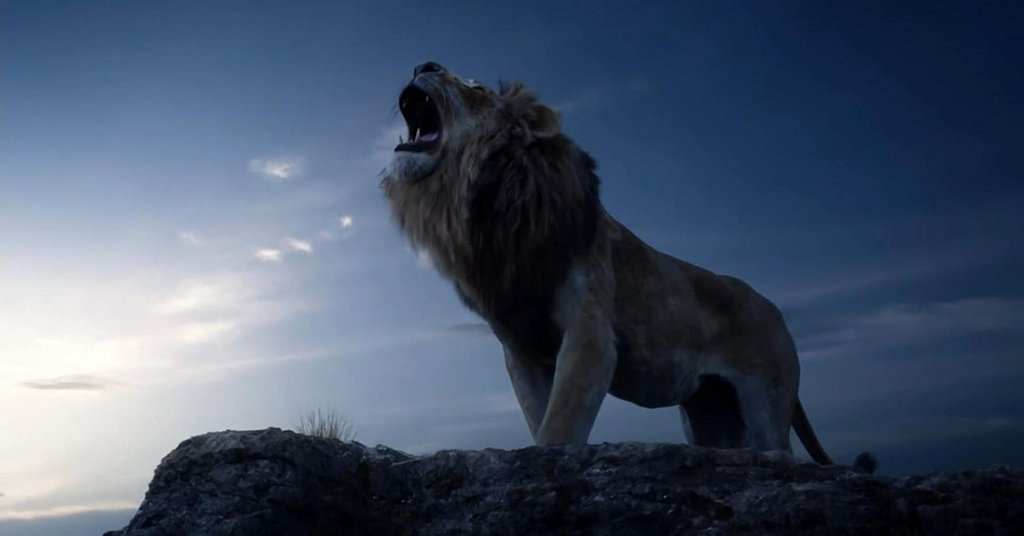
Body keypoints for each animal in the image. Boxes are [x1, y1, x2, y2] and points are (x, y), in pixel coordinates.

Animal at [382, 61, 871, 470]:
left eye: (476, 87)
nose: (423, 64)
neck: (483, 202)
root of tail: (774, 309)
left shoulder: (591, 334)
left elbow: (559, 426)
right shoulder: (521, 351)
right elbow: (540, 419)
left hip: (766, 402)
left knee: (780, 450)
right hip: (711, 414)